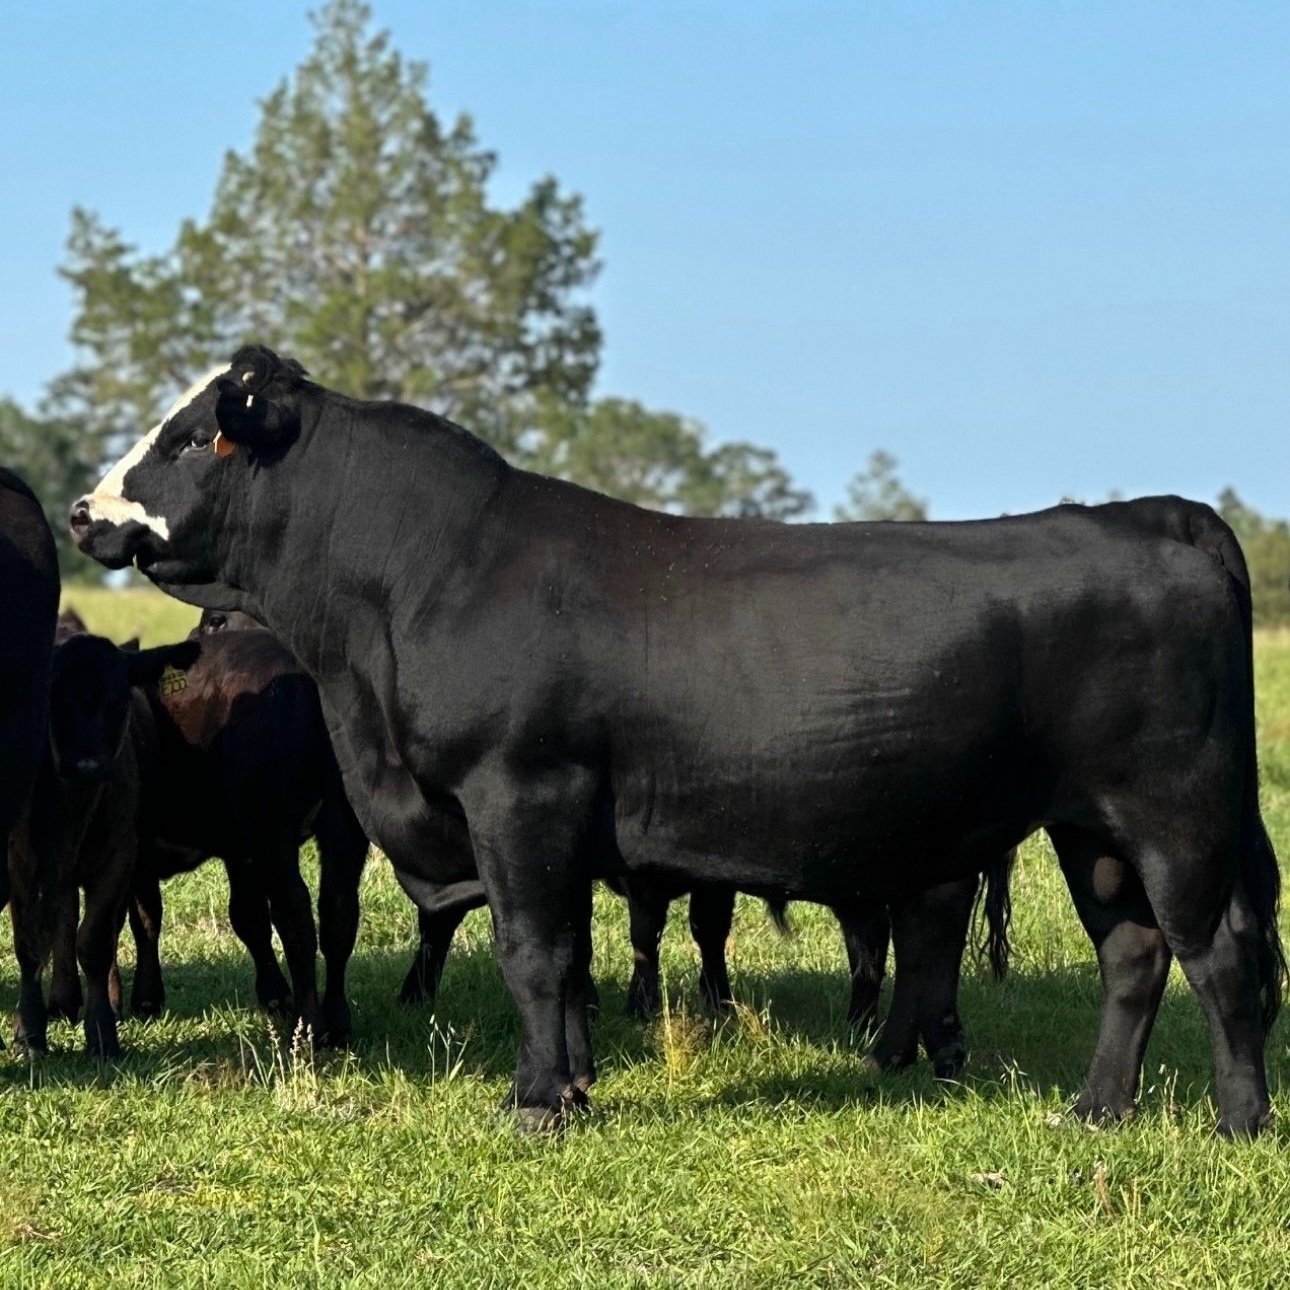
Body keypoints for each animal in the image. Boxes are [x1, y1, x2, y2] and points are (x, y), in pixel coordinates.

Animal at [9, 630, 197, 1055]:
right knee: (65, 921)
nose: (88, 765)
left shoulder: (119, 857)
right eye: (55, 699)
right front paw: (29, 1032)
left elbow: (96, 941)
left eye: (118, 701)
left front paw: (101, 1032)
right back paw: (63, 1000)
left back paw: (139, 998)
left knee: (139, 921)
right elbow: (30, 942)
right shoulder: (20, 861)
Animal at [71, 347, 1283, 1136]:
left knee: (1219, 954)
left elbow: (533, 953)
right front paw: (572, 1084)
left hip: (1176, 811)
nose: (85, 511)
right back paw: (1096, 1110)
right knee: (1132, 954)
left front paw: (536, 1105)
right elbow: (571, 962)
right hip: (1092, 827)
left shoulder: (521, 794)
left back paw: (1237, 1121)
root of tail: (1148, 516)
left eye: (192, 435)